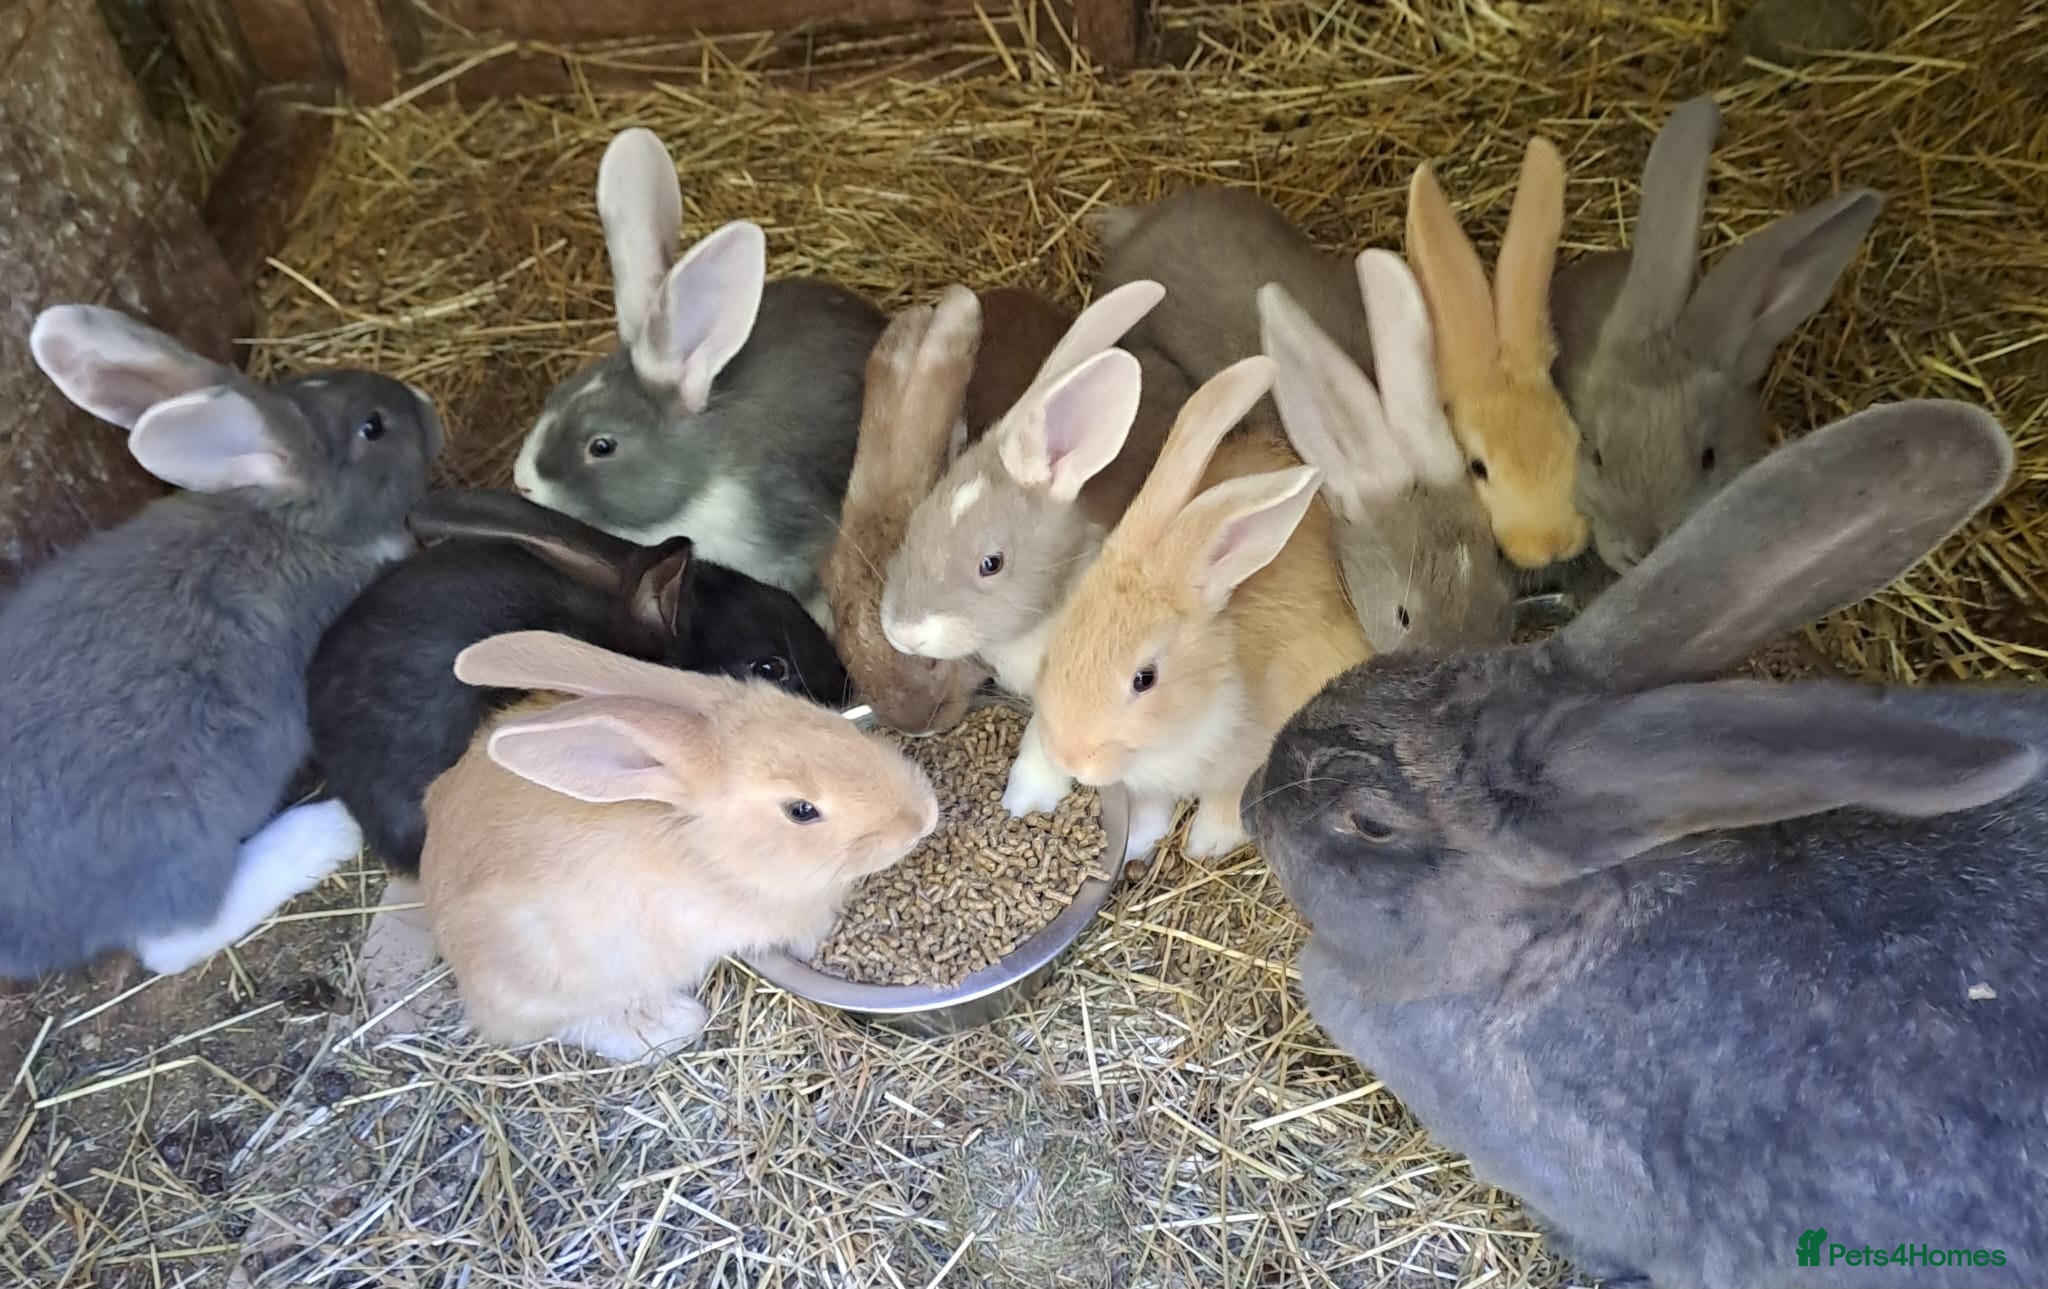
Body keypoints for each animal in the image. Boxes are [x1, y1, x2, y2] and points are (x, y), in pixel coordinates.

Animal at [1, 305, 441, 980]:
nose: (424, 400)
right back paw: (323, 832)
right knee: (175, 939)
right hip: (180, 833)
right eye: (373, 427)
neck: (286, 519)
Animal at [1032, 356, 1370, 862]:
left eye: (1145, 679)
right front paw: (1138, 842)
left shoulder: (1252, 757)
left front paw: (1206, 842)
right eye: (1058, 644)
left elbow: (1227, 803)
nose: (1070, 758)